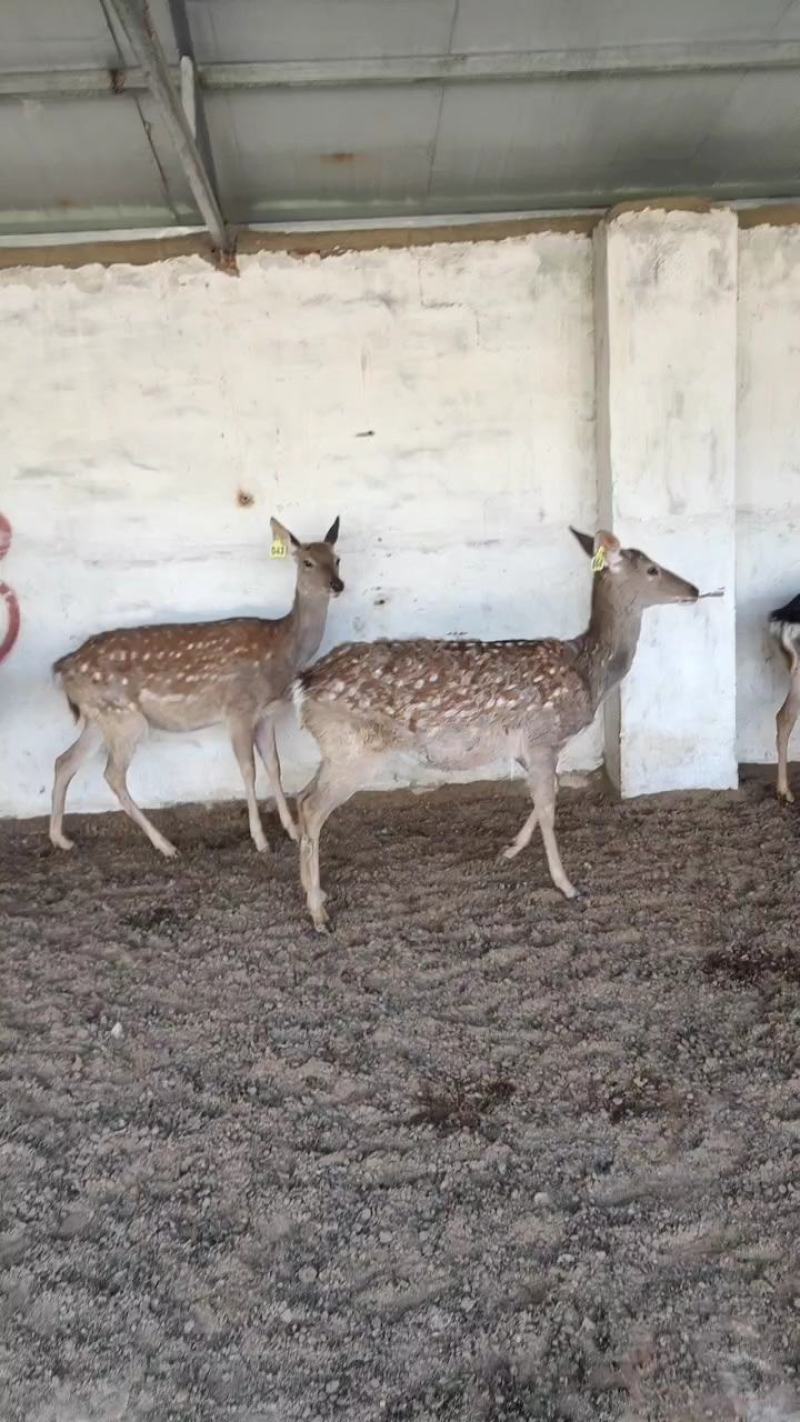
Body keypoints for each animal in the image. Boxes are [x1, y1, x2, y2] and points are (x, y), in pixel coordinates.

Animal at [49, 516, 343, 859]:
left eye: (337, 559)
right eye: (308, 562)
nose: (337, 585)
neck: (282, 650)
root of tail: (62, 668)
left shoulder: (266, 713)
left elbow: (274, 765)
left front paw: (293, 831)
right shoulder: (238, 709)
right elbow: (248, 770)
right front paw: (260, 840)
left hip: (99, 717)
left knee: (65, 761)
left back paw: (60, 838)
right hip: (124, 718)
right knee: (112, 775)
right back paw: (165, 845)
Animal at [291, 527, 701, 933]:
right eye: (652, 569)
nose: (694, 590)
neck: (589, 676)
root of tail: (303, 685)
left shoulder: (529, 747)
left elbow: (545, 795)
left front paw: (510, 849)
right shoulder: (542, 737)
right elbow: (548, 806)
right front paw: (566, 885)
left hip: (334, 748)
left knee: (302, 797)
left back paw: (317, 892)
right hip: (356, 749)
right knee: (312, 807)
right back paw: (318, 913)